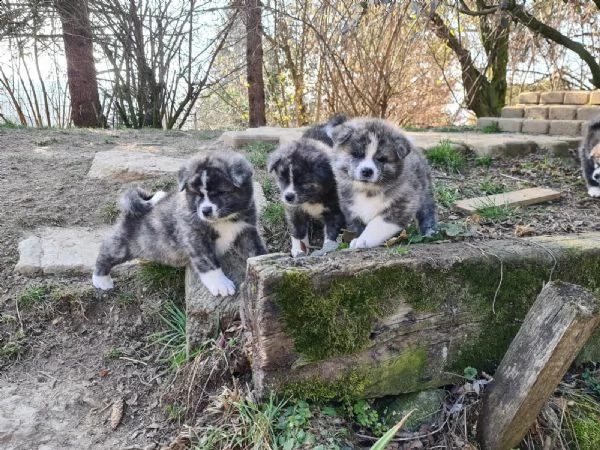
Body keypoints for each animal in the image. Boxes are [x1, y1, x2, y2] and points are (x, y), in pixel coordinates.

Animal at [92, 153, 268, 298]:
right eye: (197, 194)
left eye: (220, 193)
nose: (205, 211)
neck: (224, 220)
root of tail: (129, 213)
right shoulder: (195, 237)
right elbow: (208, 262)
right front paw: (220, 284)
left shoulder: (246, 230)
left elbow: (255, 250)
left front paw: (264, 260)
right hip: (122, 245)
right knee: (106, 252)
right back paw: (101, 279)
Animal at [328, 116, 436, 250]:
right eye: (357, 154)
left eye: (381, 159)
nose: (367, 171)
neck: (368, 190)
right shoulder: (351, 209)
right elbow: (359, 226)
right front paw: (359, 237)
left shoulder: (403, 205)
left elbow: (376, 225)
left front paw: (363, 240)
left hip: (425, 191)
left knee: (427, 211)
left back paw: (429, 232)